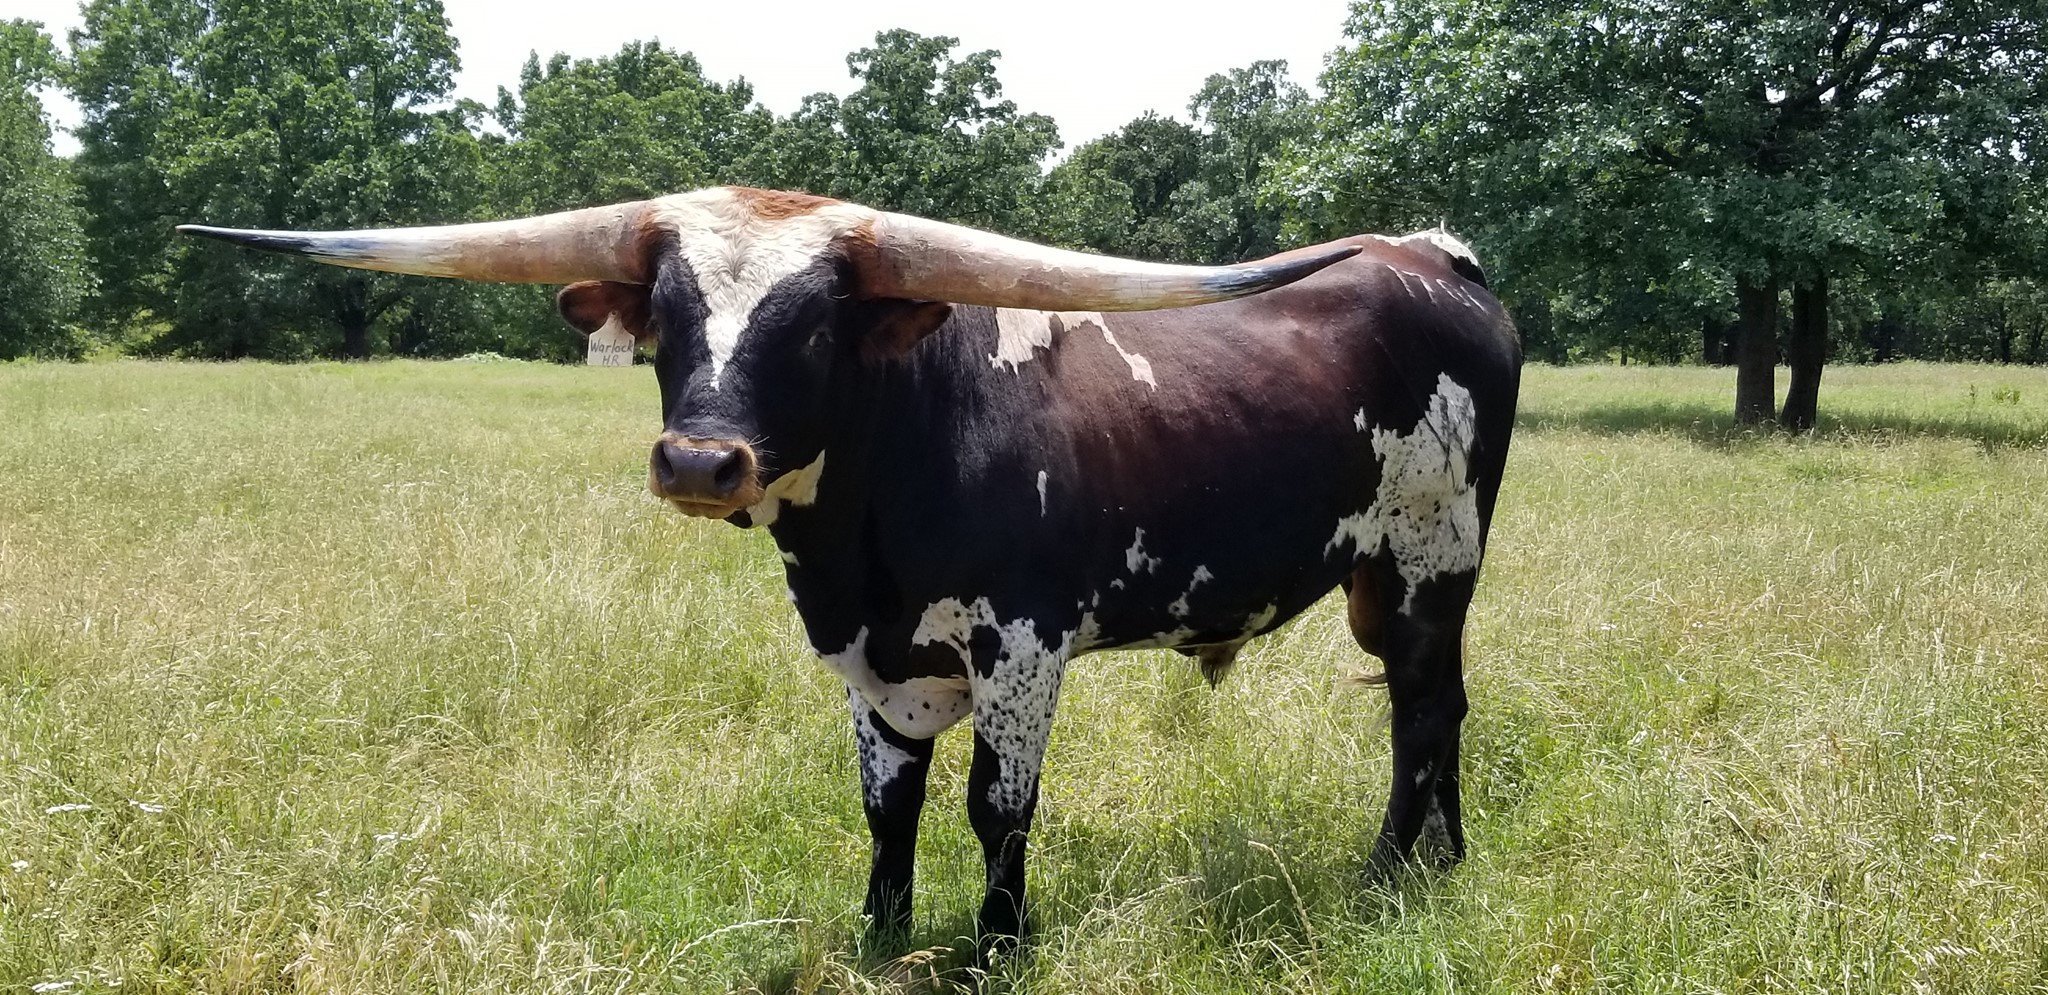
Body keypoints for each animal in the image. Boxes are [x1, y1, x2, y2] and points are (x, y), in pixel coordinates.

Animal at [179, 187, 1522, 957]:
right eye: (665, 316)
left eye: (815, 323)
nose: (699, 458)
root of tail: (1435, 260)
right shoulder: (870, 655)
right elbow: (888, 805)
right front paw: (882, 937)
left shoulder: (1021, 645)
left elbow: (996, 805)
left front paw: (997, 946)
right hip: (1393, 577)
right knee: (1438, 704)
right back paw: (1441, 858)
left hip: (1429, 557)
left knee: (1419, 708)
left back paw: (1388, 872)